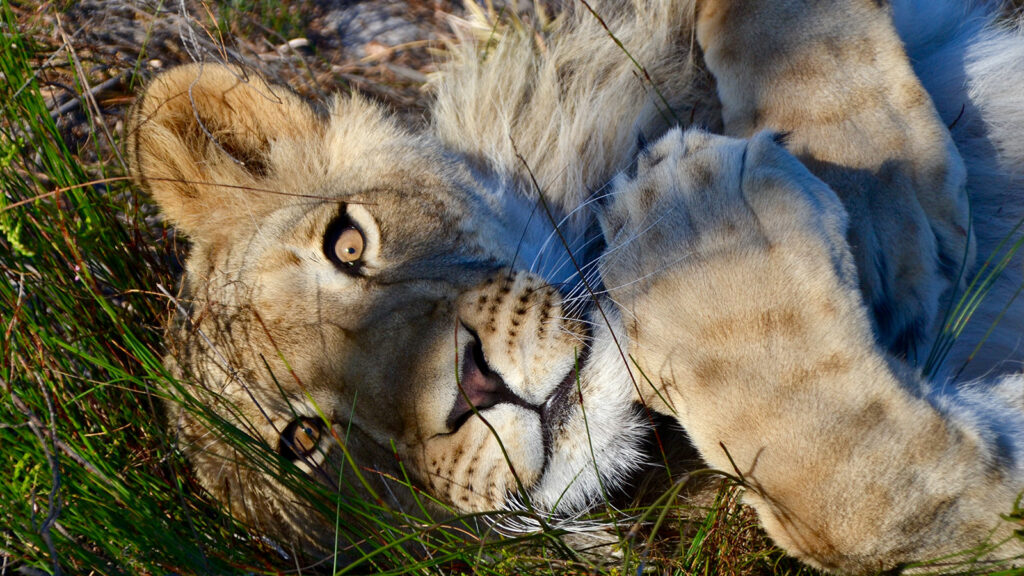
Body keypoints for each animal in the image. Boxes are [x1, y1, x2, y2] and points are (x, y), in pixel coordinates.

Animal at [126, 0, 1024, 572]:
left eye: (346, 243)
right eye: (305, 443)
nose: (474, 387)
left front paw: (886, 196)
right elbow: (857, 498)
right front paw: (697, 225)